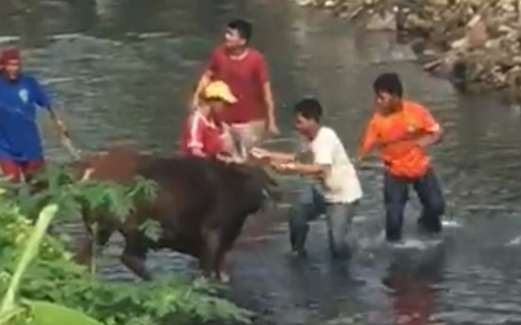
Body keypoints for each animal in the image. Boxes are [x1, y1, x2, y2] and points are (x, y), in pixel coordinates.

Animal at [75, 147, 278, 280]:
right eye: (256, 176)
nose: (269, 196)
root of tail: (90, 172)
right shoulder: (213, 233)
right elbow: (208, 272)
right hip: (135, 228)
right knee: (130, 258)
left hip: (100, 229)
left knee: (84, 257)